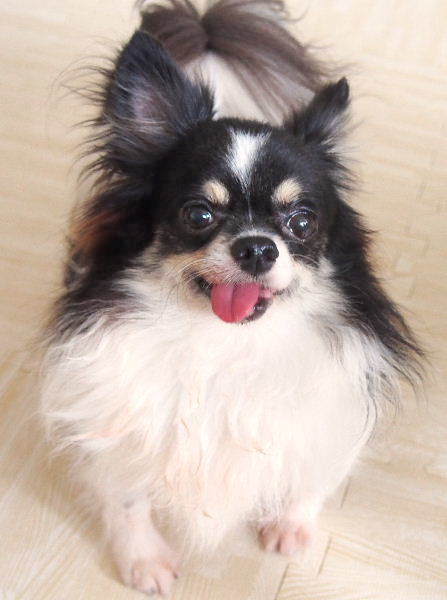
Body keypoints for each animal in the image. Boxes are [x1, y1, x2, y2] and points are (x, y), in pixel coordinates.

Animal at [40, 0, 422, 595]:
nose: (258, 247)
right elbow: (126, 498)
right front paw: (145, 562)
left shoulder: (327, 418)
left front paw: (290, 528)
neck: (225, 344)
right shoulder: (113, 416)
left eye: (301, 222)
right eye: (199, 214)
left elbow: (311, 477)